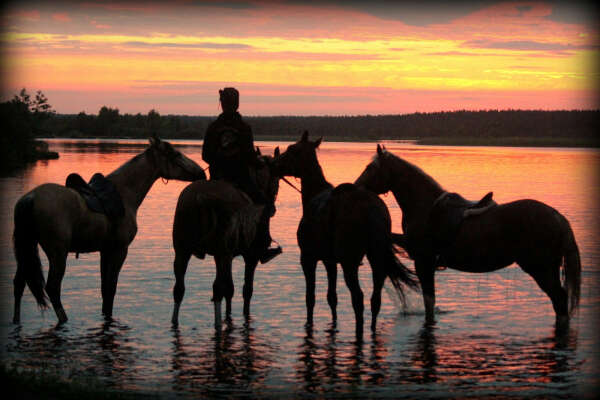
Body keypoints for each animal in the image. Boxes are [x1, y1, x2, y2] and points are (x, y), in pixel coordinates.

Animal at [10, 136, 204, 324]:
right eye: (175, 154)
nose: (201, 173)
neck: (124, 194)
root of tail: (31, 198)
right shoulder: (120, 250)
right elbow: (111, 289)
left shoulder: (105, 250)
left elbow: (105, 290)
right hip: (58, 253)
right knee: (52, 288)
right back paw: (64, 319)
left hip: (27, 249)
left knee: (19, 284)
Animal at [170, 147, 280, 328]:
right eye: (276, 178)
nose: (272, 207)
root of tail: (199, 198)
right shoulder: (250, 257)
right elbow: (246, 290)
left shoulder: (222, 256)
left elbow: (230, 289)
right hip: (222, 253)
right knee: (217, 289)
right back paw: (217, 325)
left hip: (183, 250)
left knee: (179, 289)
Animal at [274, 132, 418, 338]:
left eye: (292, 149)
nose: (274, 164)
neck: (313, 197)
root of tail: (371, 210)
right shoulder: (330, 260)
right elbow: (332, 297)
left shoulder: (308, 258)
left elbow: (311, 298)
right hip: (376, 258)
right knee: (375, 299)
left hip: (349, 262)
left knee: (358, 298)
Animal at [356, 145, 580, 326]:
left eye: (370, 168)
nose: (356, 187)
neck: (426, 208)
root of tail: (557, 217)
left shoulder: (423, 261)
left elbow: (429, 301)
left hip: (540, 269)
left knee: (559, 300)